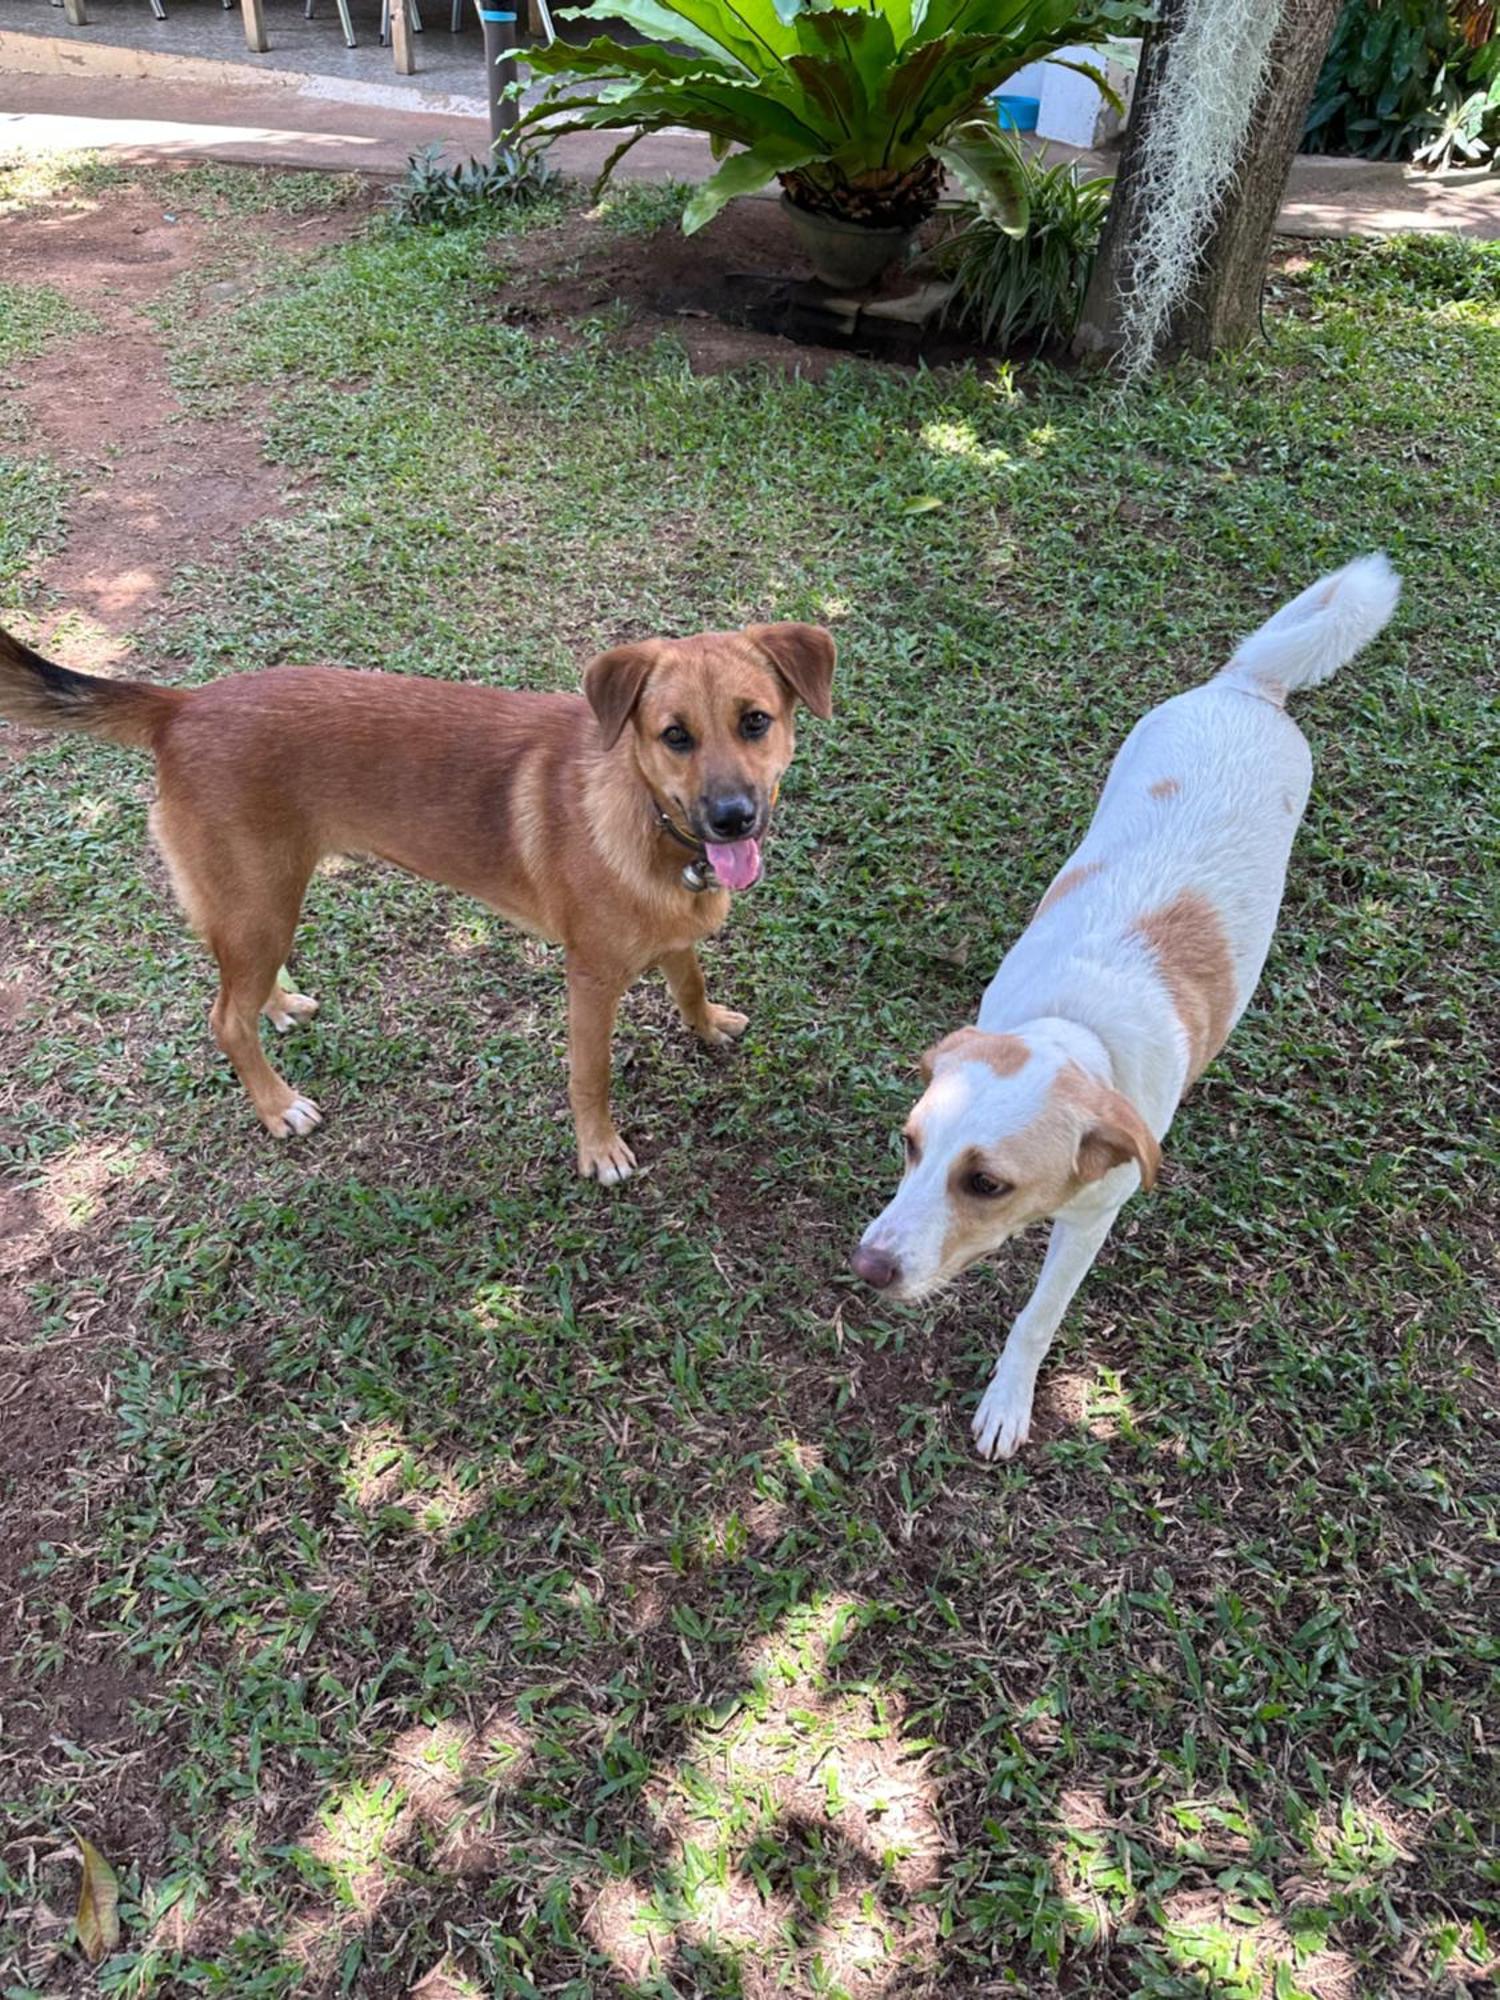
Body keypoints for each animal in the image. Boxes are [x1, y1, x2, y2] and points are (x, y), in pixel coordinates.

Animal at [0, 624, 836, 1176]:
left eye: (755, 721)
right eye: (675, 736)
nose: (733, 819)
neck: (646, 812)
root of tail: (181, 706)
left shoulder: (674, 934)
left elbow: (689, 982)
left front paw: (708, 1024)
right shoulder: (592, 981)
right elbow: (590, 1075)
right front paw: (598, 1149)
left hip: (257, 908)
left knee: (240, 990)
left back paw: (280, 1005)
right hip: (262, 904)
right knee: (223, 1019)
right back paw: (276, 1104)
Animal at [864, 556, 1408, 1464]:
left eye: (986, 1183)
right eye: (909, 1144)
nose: (868, 1268)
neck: (1076, 1029)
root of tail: (1249, 688)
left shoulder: (1092, 1221)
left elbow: (1036, 1318)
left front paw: (1009, 1398)